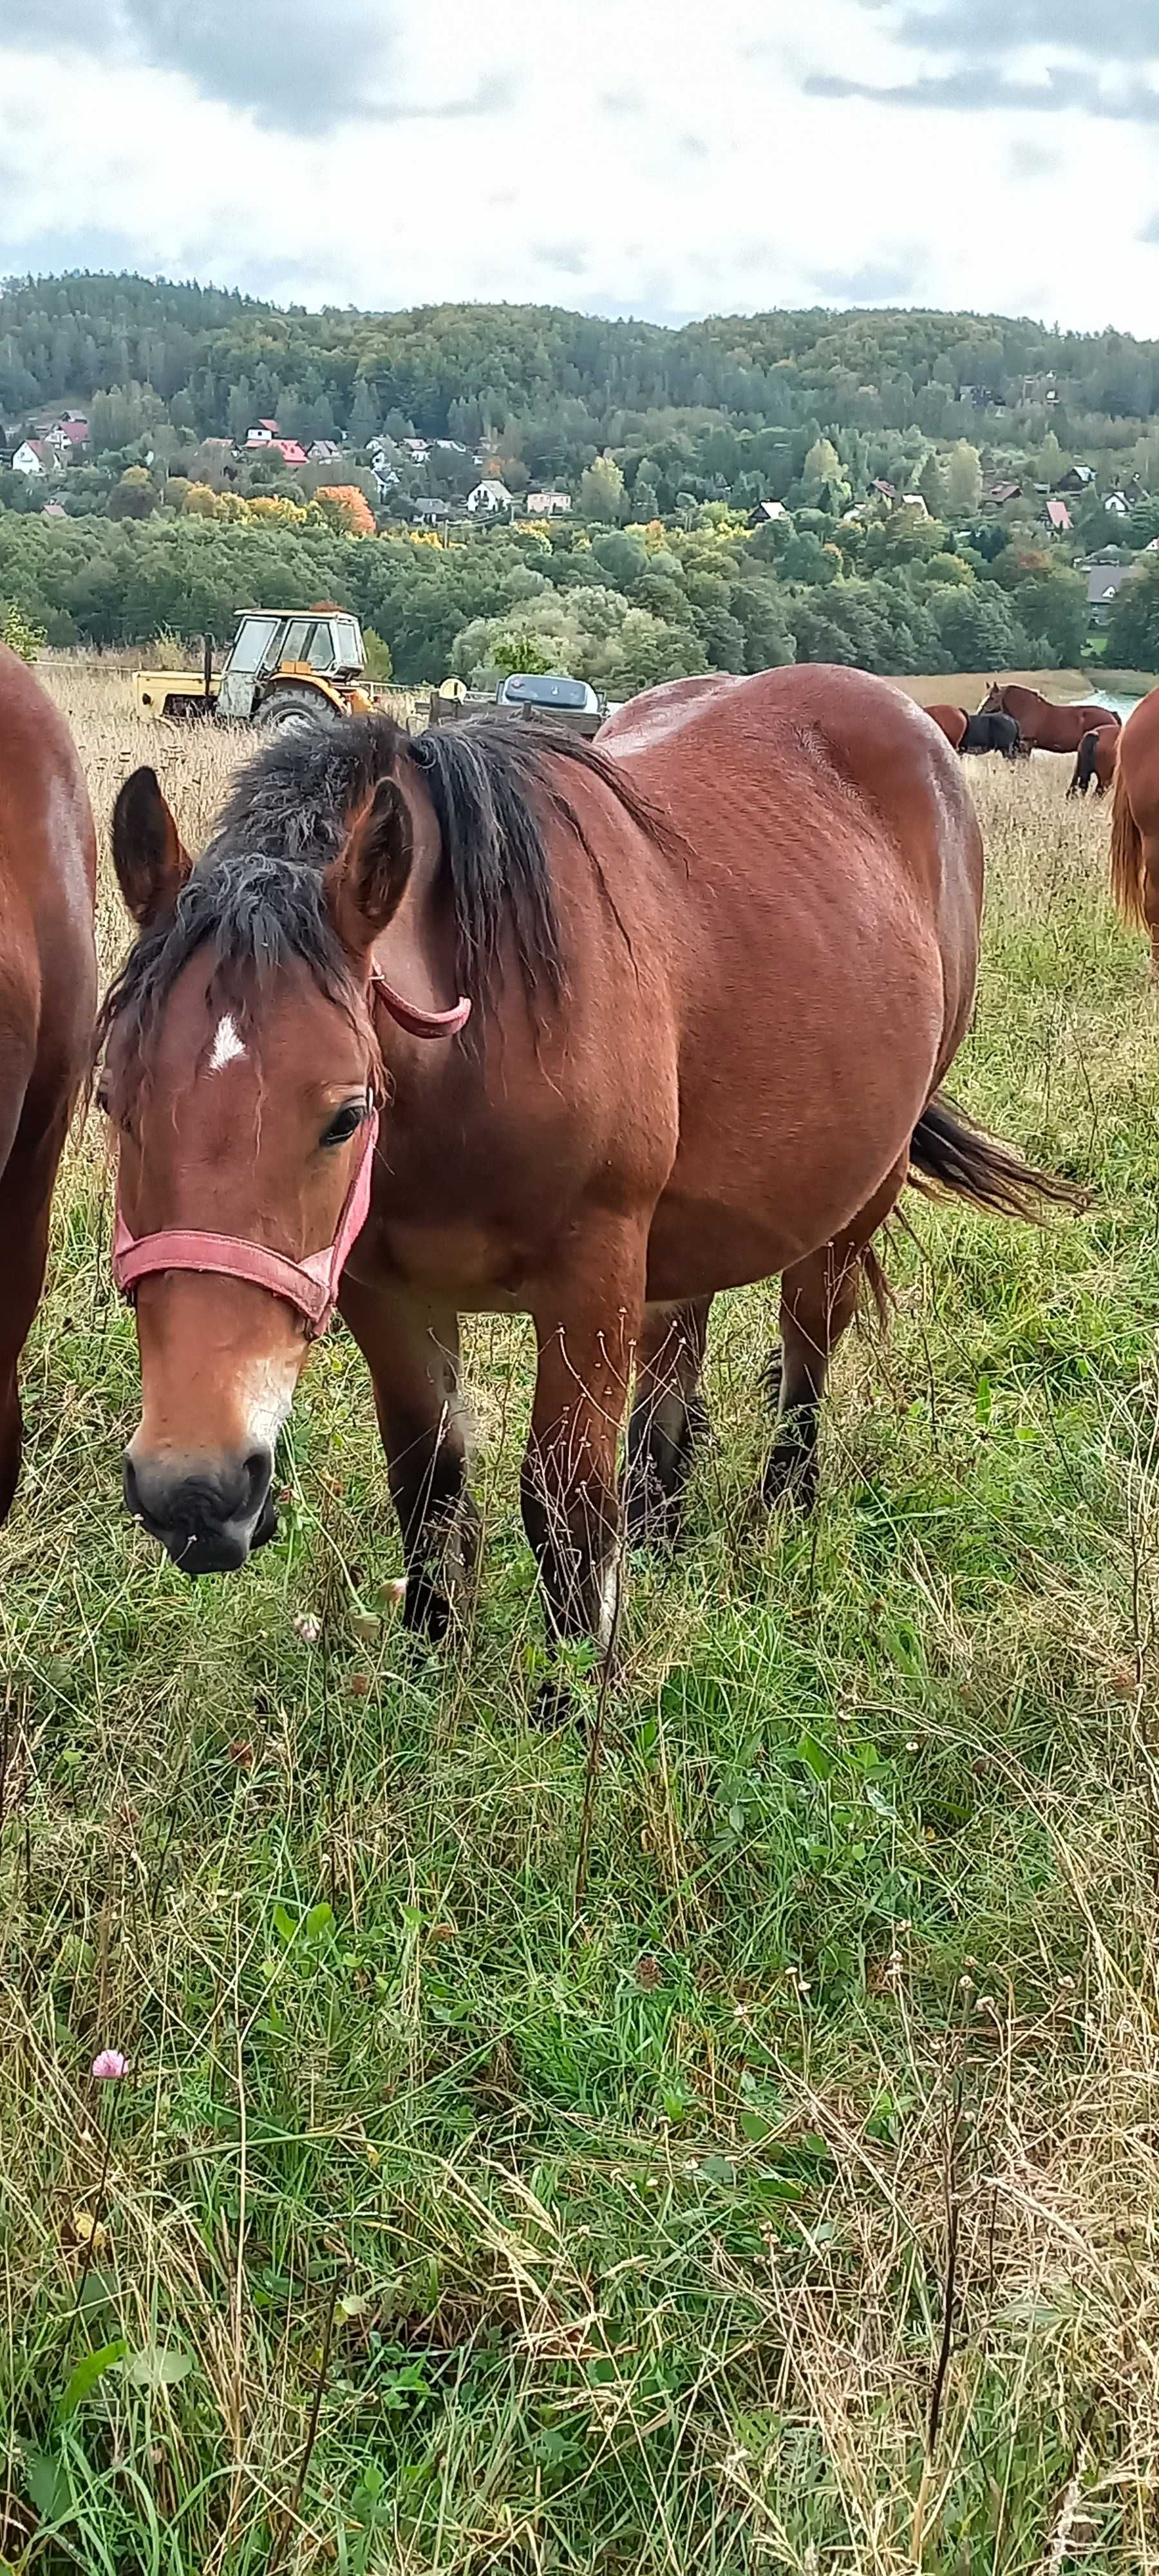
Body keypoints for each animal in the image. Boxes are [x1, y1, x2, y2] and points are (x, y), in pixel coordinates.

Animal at [97, 670, 1077, 1669]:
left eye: (346, 1116)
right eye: (109, 1099)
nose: (195, 1491)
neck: (482, 1034)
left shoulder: (590, 1280)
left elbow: (563, 1508)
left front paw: (570, 1687)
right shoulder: (386, 1294)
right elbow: (428, 1481)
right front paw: (430, 1658)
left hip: (856, 1196)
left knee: (810, 1340)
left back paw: (778, 1517)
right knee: (682, 1339)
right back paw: (659, 1515)